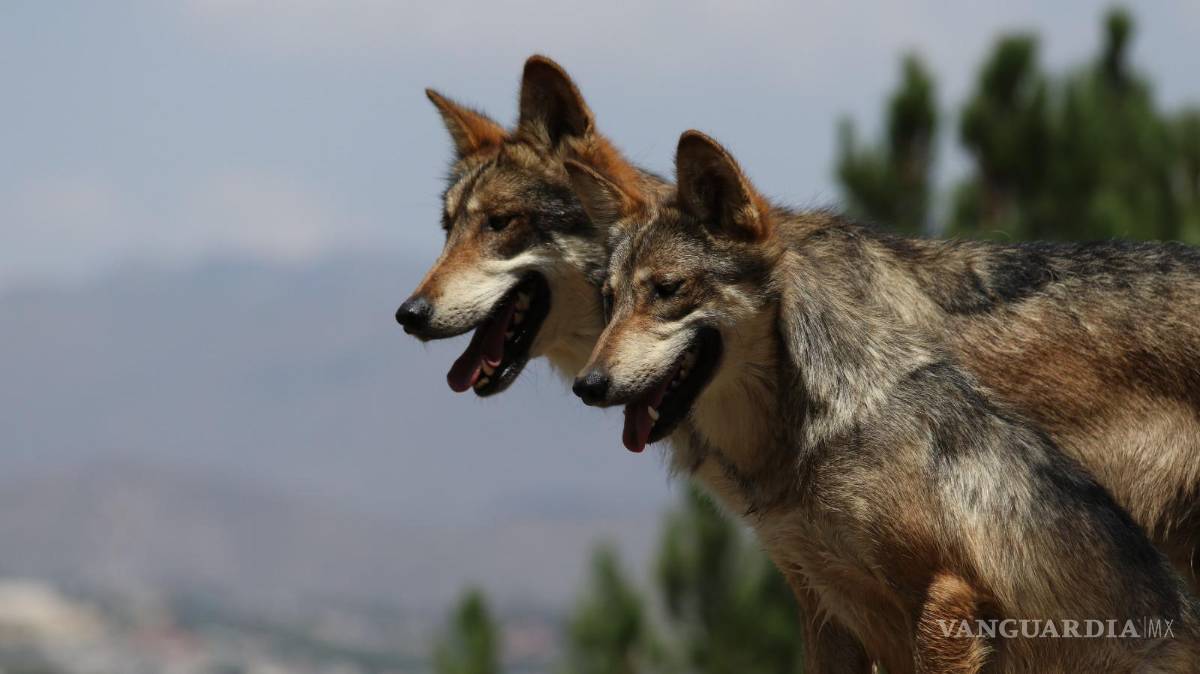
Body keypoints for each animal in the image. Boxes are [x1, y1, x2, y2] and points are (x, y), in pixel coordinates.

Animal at [566, 131, 1200, 673]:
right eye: (609, 300)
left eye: (667, 290)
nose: (587, 386)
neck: (808, 436)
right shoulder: (824, 608)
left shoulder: (946, 598)